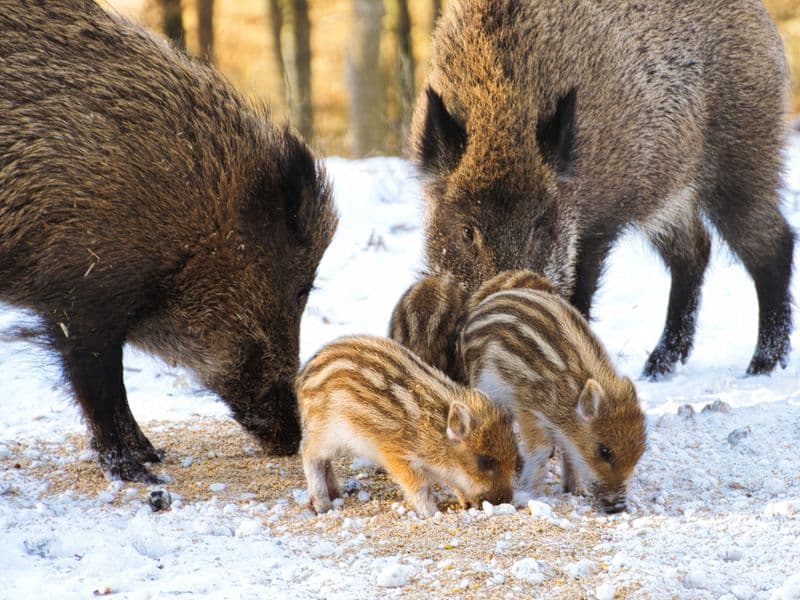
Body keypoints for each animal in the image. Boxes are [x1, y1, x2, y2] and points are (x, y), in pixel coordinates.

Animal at [0, 0, 337, 482]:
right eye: (300, 289)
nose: (292, 436)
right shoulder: (83, 296)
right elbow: (100, 388)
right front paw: (139, 470)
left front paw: (149, 456)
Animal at [295, 335, 517, 517]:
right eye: (486, 461)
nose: (506, 501)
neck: (435, 433)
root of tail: (303, 376)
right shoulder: (399, 457)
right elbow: (420, 488)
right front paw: (432, 514)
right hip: (325, 432)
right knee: (309, 453)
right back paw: (323, 505)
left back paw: (336, 494)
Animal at [411, 0, 794, 378]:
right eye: (467, 230)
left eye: (541, 227)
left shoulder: (597, 225)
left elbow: (579, 294)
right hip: (670, 197)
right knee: (696, 251)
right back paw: (658, 367)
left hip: (745, 160)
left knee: (774, 245)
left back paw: (762, 366)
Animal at [461, 270, 646, 513]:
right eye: (605, 451)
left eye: (639, 454)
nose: (618, 507)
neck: (567, 392)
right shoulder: (527, 408)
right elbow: (540, 450)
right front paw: (528, 493)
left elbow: (568, 453)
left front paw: (575, 491)